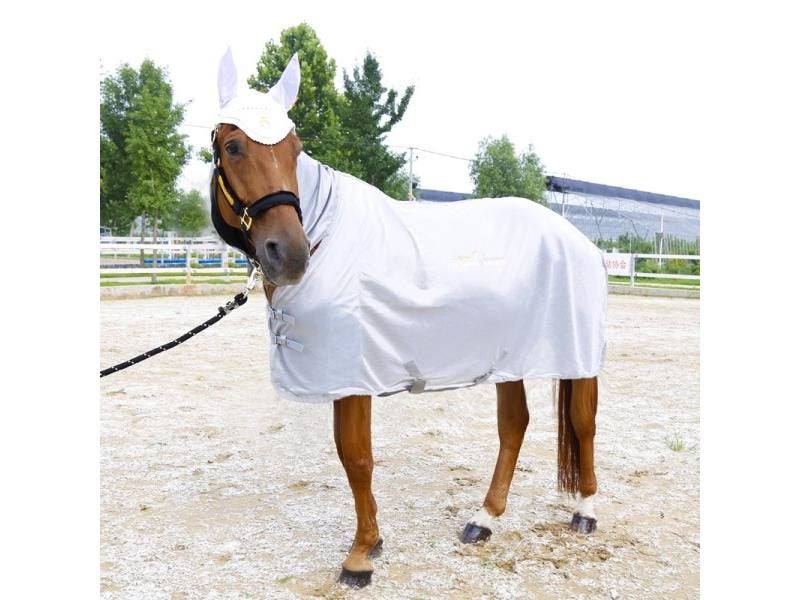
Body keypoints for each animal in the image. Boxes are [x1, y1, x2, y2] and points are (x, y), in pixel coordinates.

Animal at [209, 49, 606, 588]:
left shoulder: (351, 375)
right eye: (232, 146)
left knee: (583, 424)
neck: (330, 232)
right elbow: (352, 456)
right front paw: (372, 541)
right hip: (509, 357)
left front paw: (360, 554)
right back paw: (484, 518)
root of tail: (575, 236)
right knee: (514, 425)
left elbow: (356, 456)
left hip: (577, 355)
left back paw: (585, 510)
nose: (289, 254)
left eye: (294, 148)